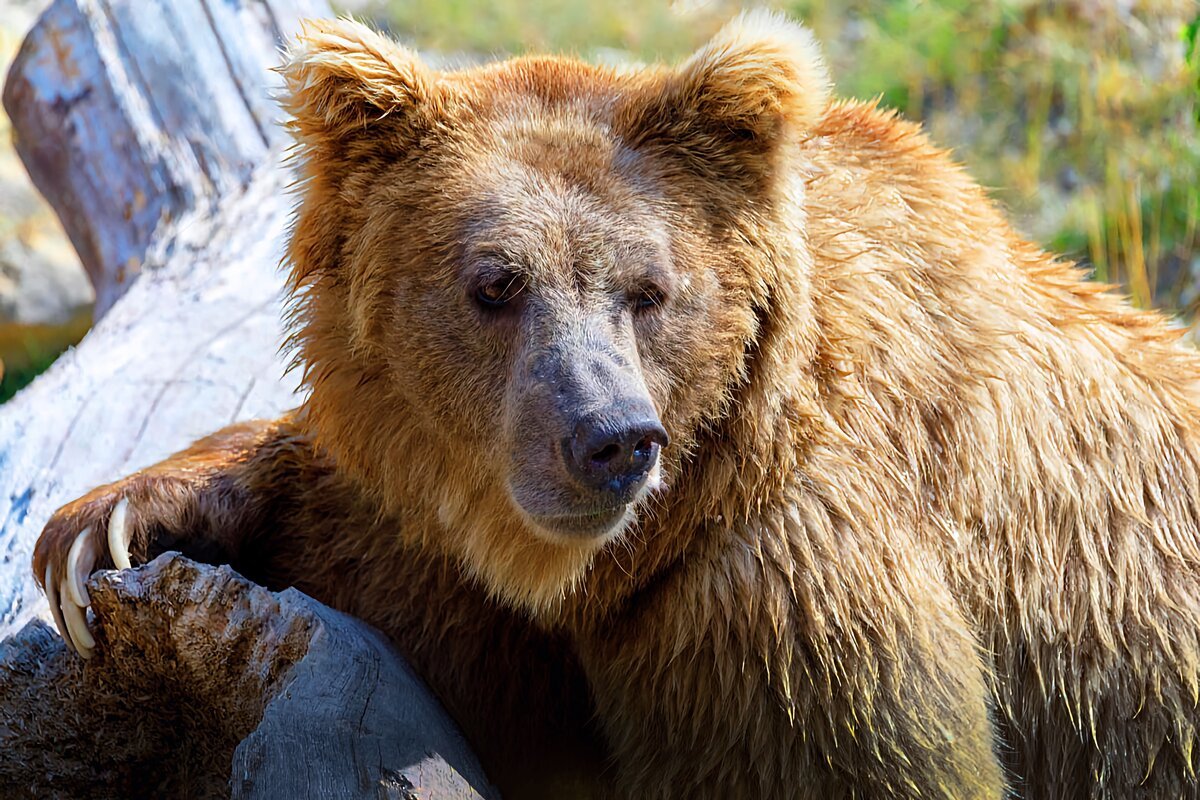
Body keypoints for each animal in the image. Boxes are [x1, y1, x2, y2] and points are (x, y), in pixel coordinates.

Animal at [28, 10, 1200, 800]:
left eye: (649, 288)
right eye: (496, 283)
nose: (612, 440)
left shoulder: (777, 604)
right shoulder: (461, 569)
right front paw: (108, 527)